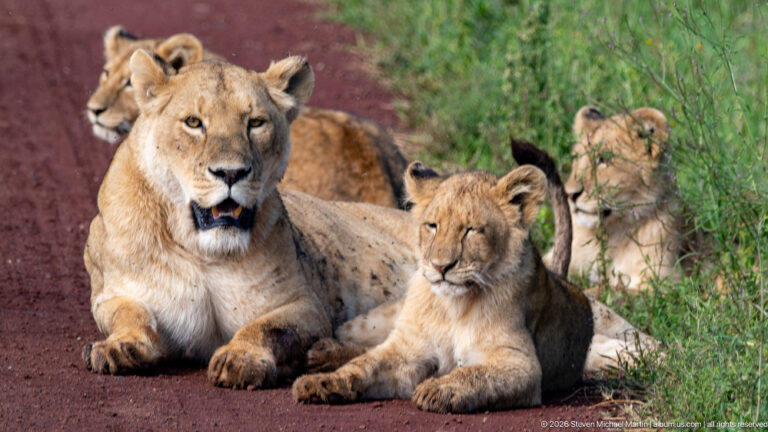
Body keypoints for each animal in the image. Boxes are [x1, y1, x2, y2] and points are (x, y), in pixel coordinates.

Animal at [82, 50, 421, 389]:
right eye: (193, 122)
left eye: (255, 123)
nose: (231, 173)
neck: (204, 252)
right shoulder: (113, 293)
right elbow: (129, 314)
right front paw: (117, 347)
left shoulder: (306, 304)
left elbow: (268, 328)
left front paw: (240, 358)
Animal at [292, 140, 657, 413]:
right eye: (432, 225)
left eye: (471, 231)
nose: (441, 267)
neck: (453, 307)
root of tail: (562, 279)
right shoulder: (409, 349)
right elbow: (365, 365)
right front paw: (320, 384)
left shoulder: (521, 364)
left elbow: (476, 373)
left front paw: (438, 390)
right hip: (373, 319)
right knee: (358, 339)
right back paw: (322, 354)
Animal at [549, 105, 681, 291]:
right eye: (576, 159)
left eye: (604, 159)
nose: (569, 194)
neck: (606, 235)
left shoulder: (663, 283)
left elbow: (605, 290)